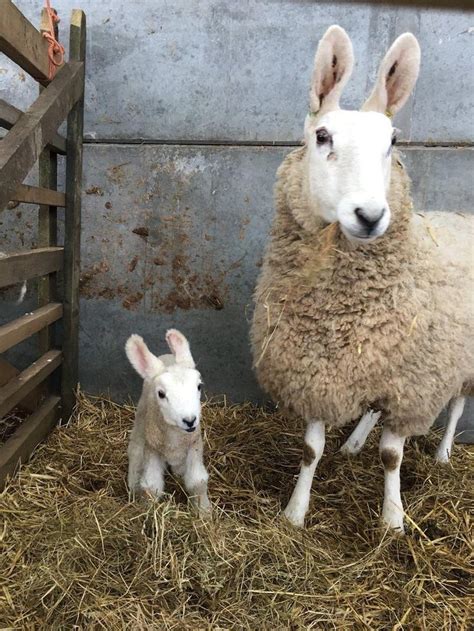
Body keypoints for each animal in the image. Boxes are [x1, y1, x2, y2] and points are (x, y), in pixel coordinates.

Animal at [125, 328, 210, 516]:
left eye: (199, 386)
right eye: (161, 394)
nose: (189, 420)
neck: (175, 438)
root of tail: (166, 356)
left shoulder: (194, 445)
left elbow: (197, 482)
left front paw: (204, 512)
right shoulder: (152, 449)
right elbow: (151, 486)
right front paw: (147, 512)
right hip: (141, 418)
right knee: (135, 450)